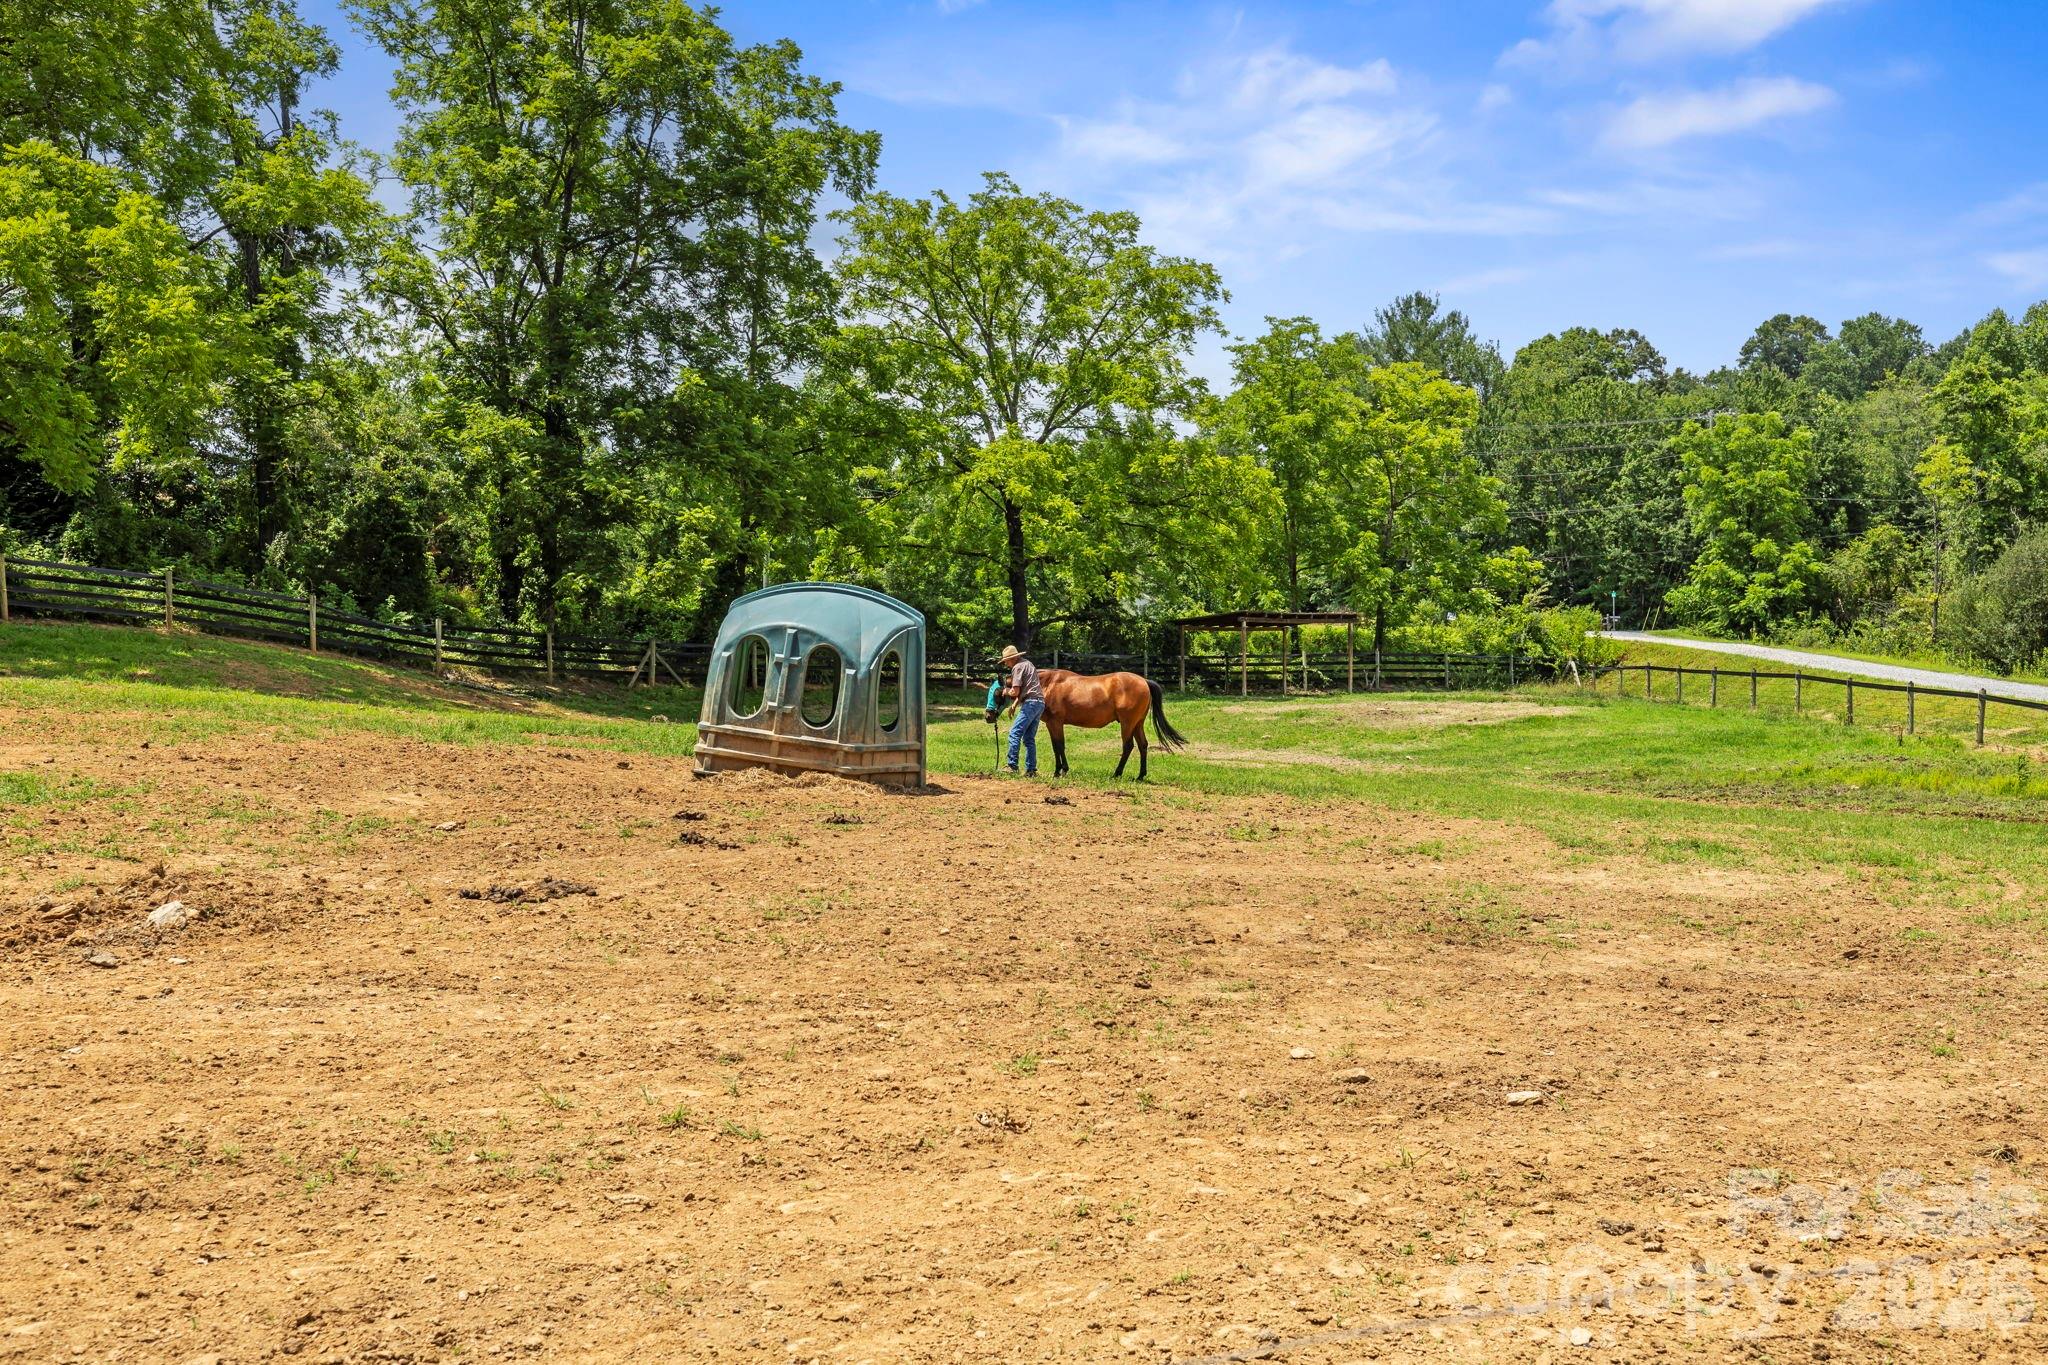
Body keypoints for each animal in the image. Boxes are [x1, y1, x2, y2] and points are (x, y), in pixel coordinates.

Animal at [985, 669, 1188, 779]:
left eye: (996, 693)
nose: (988, 716)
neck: (1047, 684)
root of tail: (1144, 681)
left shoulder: (1056, 722)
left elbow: (1060, 746)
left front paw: (1062, 771)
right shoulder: (1052, 724)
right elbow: (1056, 747)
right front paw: (1058, 770)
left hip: (1127, 723)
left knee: (1128, 746)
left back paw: (1117, 773)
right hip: (1137, 723)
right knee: (1143, 745)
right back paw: (1140, 775)